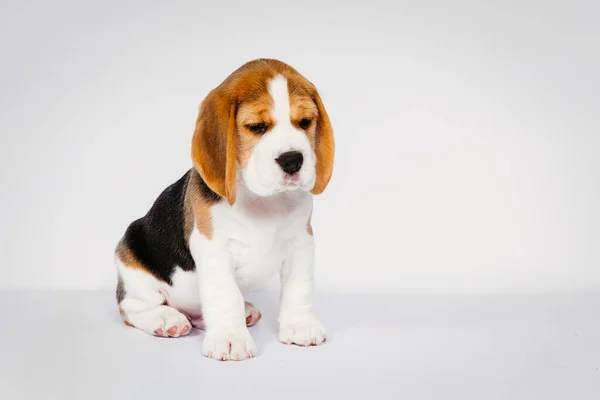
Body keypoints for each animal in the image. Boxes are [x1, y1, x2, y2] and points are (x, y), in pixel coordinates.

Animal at [115, 59, 336, 362]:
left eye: (304, 122)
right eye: (257, 126)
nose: (292, 160)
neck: (263, 200)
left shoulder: (301, 242)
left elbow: (298, 288)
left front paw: (300, 325)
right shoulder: (214, 248)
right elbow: (226, 294)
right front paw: (230, 339)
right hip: (133, 265)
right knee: (132, 308)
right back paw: (166, 319)